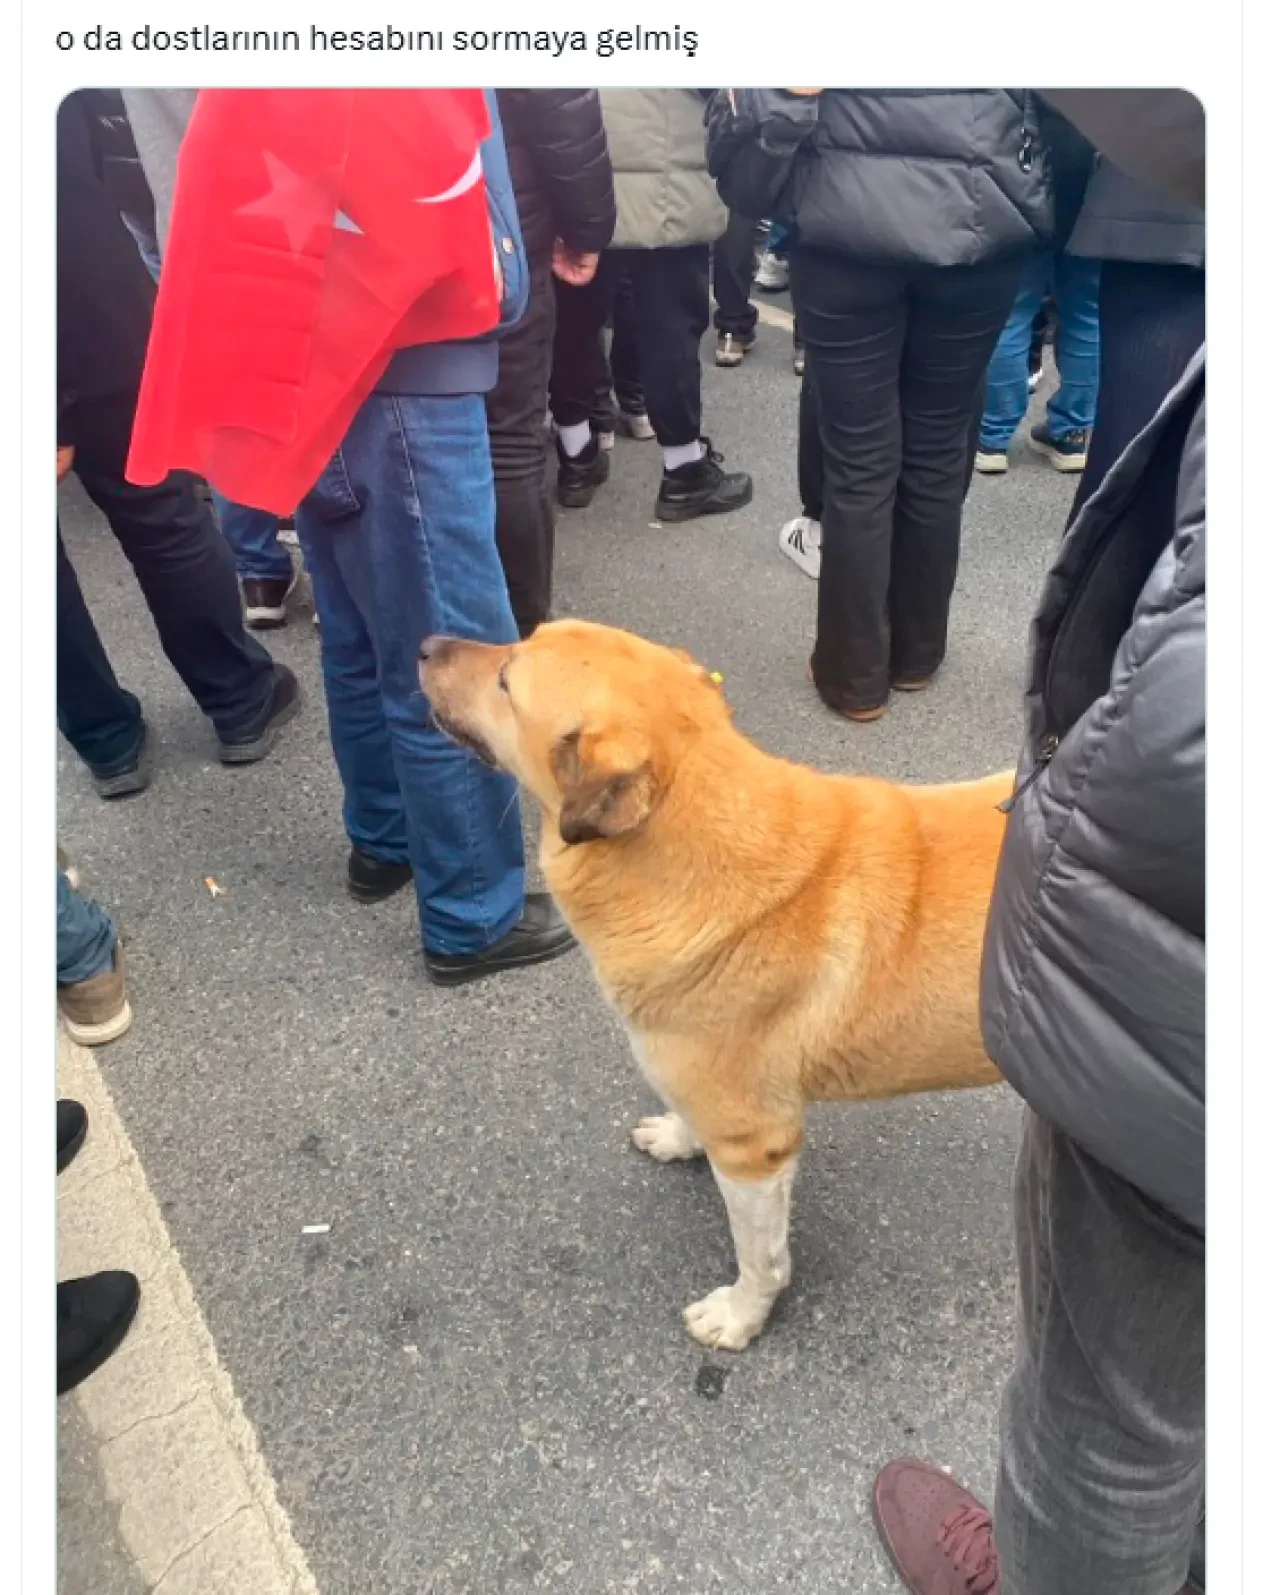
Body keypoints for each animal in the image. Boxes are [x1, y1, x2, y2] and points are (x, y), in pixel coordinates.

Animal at [420, 618, 1013, 1346]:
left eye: (506, 680)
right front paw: (679, 1137)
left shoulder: (756, 1146)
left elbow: (761, 1255)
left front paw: (740, 1316)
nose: (422, 646)